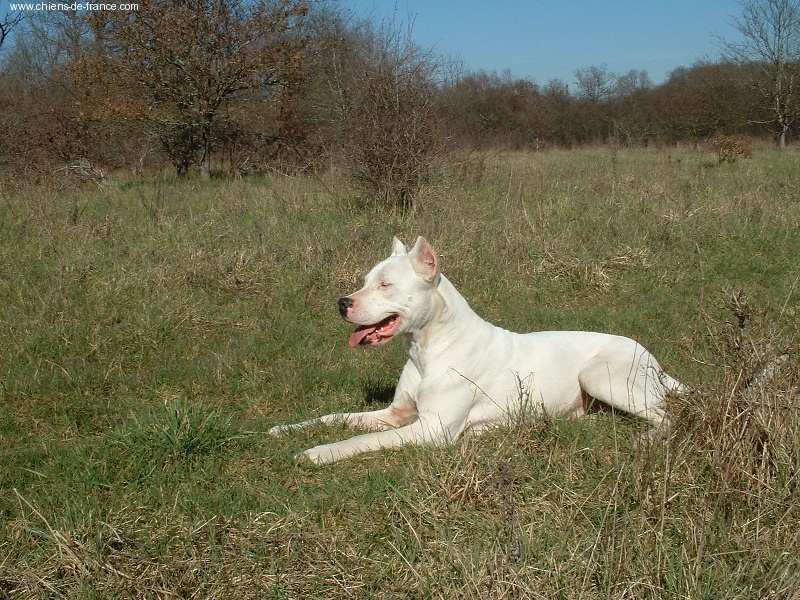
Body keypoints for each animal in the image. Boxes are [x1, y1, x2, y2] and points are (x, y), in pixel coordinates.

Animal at [272, 237, 684, 466]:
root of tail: (653, 360)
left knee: (666, 417)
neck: (429, 346)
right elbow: (336, 417)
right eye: (365, 281)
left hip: (599, 375)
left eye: (386, 285)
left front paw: (319, 453)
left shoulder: (430, 430)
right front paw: (288, 428)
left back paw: (646, 440)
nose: (342, 303)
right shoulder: (395, 414)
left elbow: (361, 440)